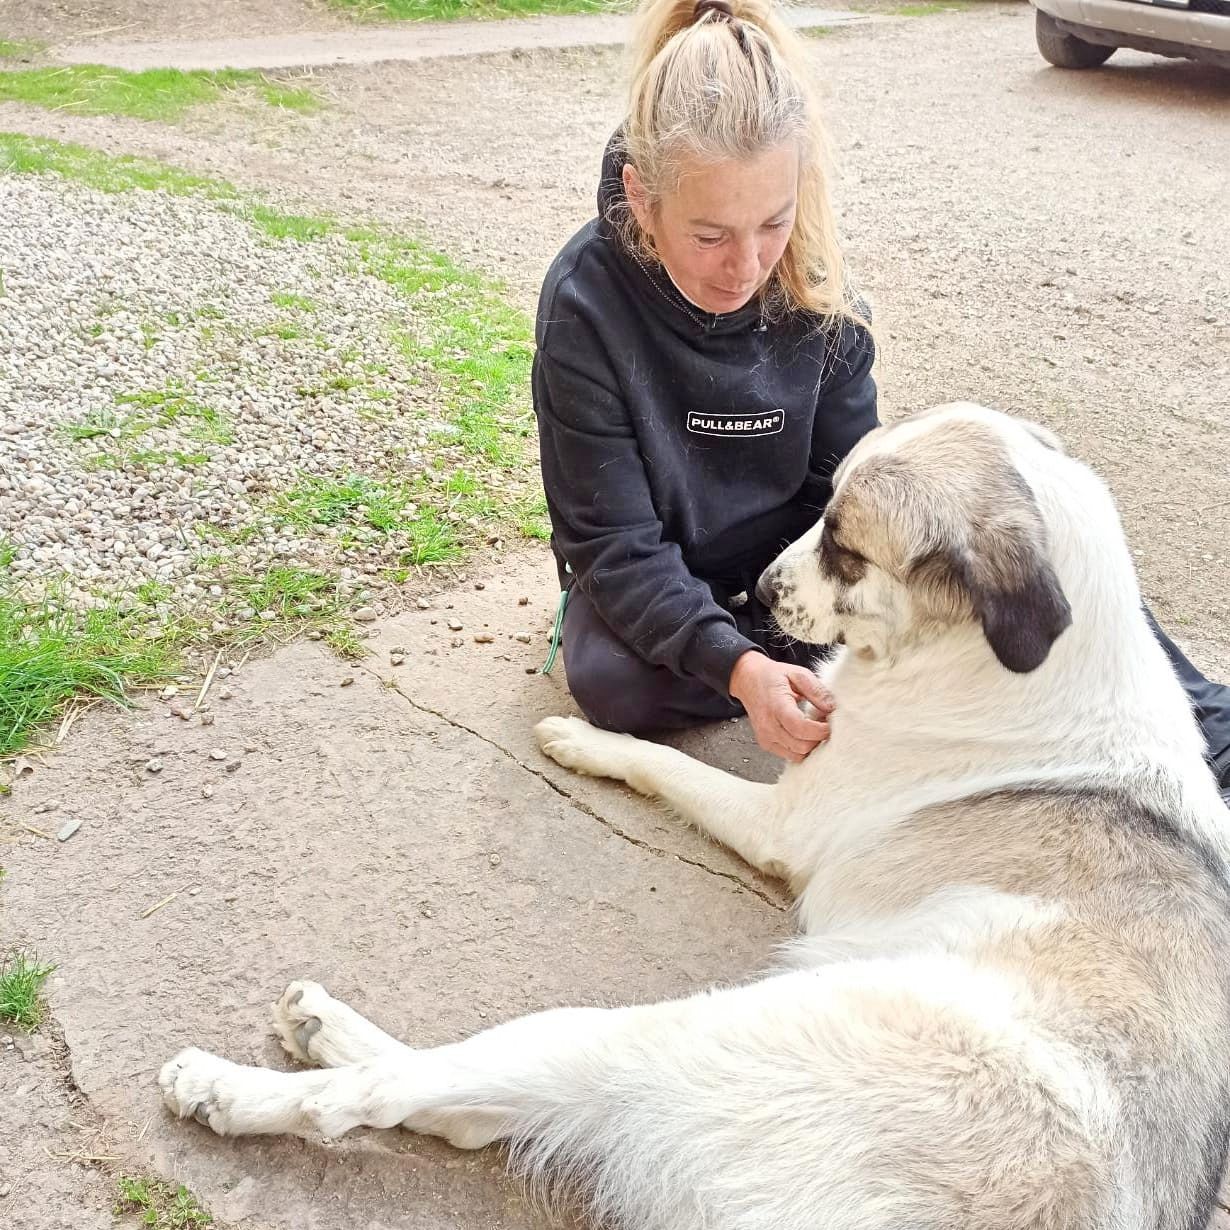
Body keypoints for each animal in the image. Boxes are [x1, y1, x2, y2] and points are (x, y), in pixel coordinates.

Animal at [160, 403, 1230, 1230]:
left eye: (846, 544)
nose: (758, 590)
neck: (993, 654)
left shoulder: (779, 820)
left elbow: (663, 761)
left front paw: (583, 740)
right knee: (468, 1103)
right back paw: (317, 1030)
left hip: (667, 1035)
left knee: (399, 1096)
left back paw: (233, 1084)